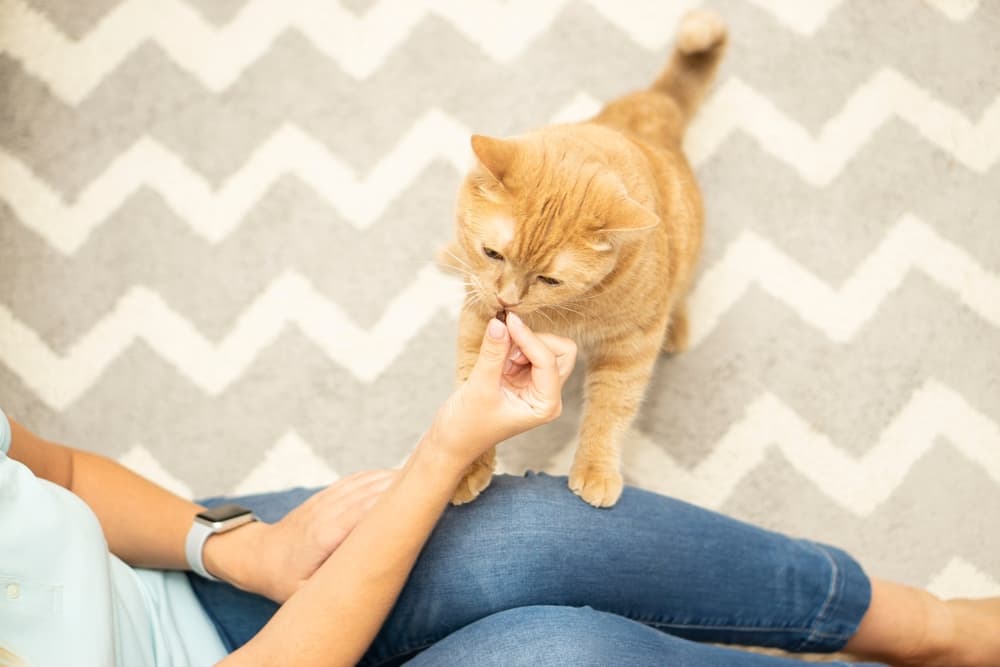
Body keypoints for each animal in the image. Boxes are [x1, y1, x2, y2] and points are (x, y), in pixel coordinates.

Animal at [442, 9, 732, 506]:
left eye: (550, 280)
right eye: (492, 253)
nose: (509, 299)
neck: (561, 316)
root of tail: (655, 105)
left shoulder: (631, 345)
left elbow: (611, 408)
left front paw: (596, 468)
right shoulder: (479, 315)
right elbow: (468, 382)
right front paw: (468, 466)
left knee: (678, 294)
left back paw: (678, 328)